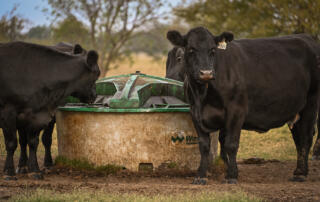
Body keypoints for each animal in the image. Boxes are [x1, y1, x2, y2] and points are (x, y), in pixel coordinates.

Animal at [0, 41, 100, 180]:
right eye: (97, 74)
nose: (95, 95)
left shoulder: (37, 115)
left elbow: (33, 142)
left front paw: (34, 170)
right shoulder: (8, 112)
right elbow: (11, 143)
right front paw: (9, 172)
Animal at [168, 26, 320, 185]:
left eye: (213, 50)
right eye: (191, 49)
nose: (206, 73)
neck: (202, 95)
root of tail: (306, 37)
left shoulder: (236, 111)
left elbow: (230, 144)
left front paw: (231, 175)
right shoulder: (195, 112)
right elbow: (204, 145)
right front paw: (200, 175)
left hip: (311, 103)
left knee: (306, 137)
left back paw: (301, 173)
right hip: (295, 110)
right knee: (298, 139)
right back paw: (298, 171)